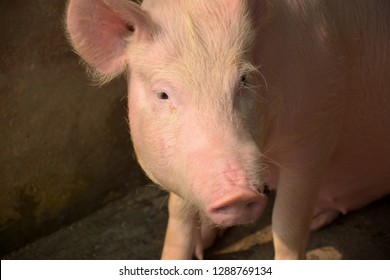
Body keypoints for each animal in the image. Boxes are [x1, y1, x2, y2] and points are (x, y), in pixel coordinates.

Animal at [65, 0, 390, 260]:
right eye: (163, 95)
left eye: (244, 79)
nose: (238, 194)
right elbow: (178, 215)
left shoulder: (316, 127)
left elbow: (286, 224)